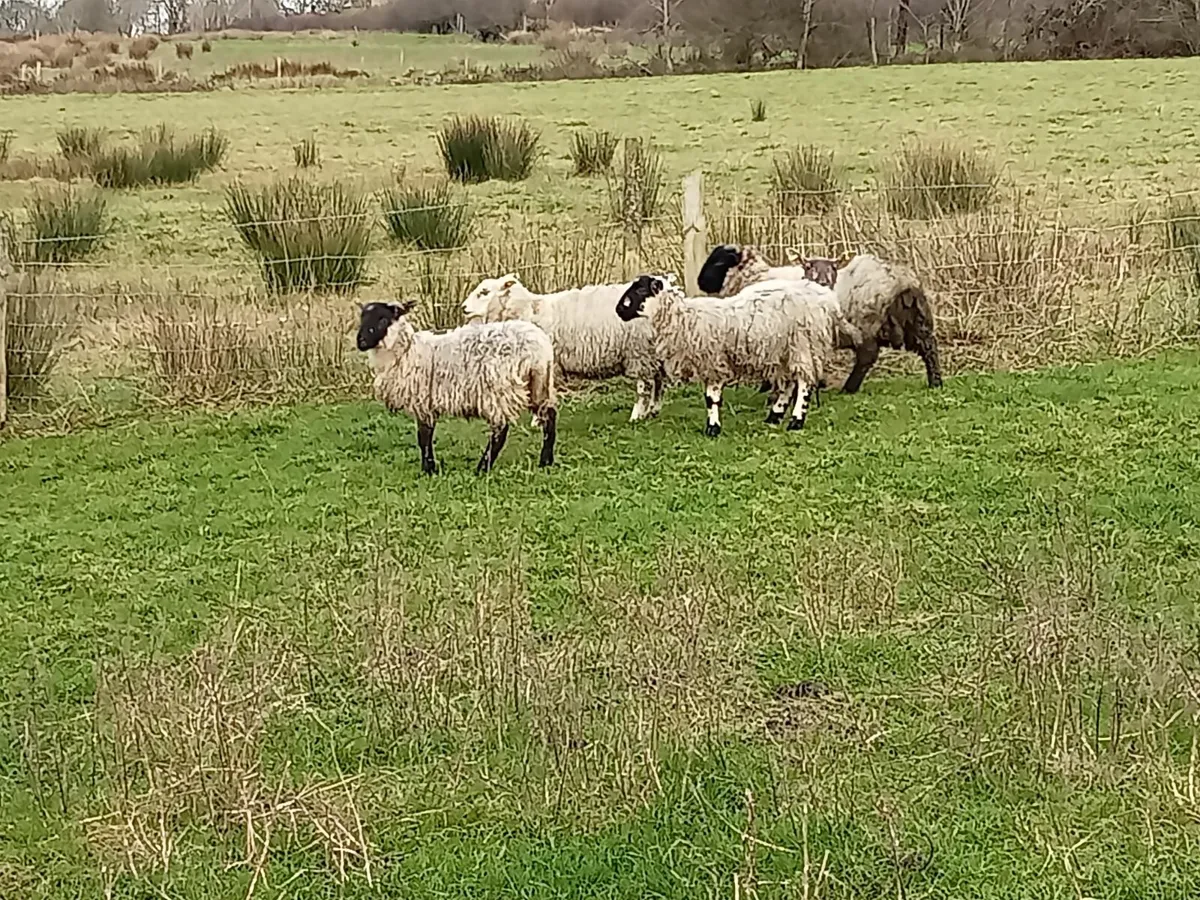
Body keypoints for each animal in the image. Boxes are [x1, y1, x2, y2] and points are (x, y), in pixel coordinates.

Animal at [357, 300, 557, 475]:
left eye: (383, 319)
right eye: (362, 317)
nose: (361, 342)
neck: (406, 351)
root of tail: (540, 349)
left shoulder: (423, 401)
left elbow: (424, 437)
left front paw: (428, 469)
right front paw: (430, 467)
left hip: (499, 389)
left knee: (500, 431)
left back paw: (482, 468)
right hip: (538, 384)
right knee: (549, 416)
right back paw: (545, 461)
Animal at [463, 273, 666, 423]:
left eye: (484, 292)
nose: (463, 307)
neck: (528, 311)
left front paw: (538, 421)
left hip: (639, 350)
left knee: (645, 385)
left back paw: (637, 415)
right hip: (653, 351)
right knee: (658, 380)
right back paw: (653, 410)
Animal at [615, 274, 843, 436]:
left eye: (640, 289)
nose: (618, 310)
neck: (684, 320)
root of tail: (826, 298)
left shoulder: (713, 362)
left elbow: (711, 398)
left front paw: (712, 428)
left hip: (803, 345)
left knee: (804, 384)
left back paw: (796, 421)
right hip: (783, 351)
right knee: (788, 383)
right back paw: (774, 417)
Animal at [697, 243, 943, 394]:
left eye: (718, 262)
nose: (701, 283)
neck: (754, 275)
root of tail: (904, 282)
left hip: (867, 324)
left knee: (867, 356)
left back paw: (848, 389)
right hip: (917, 320)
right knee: (929, 347)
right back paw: (936, 383)